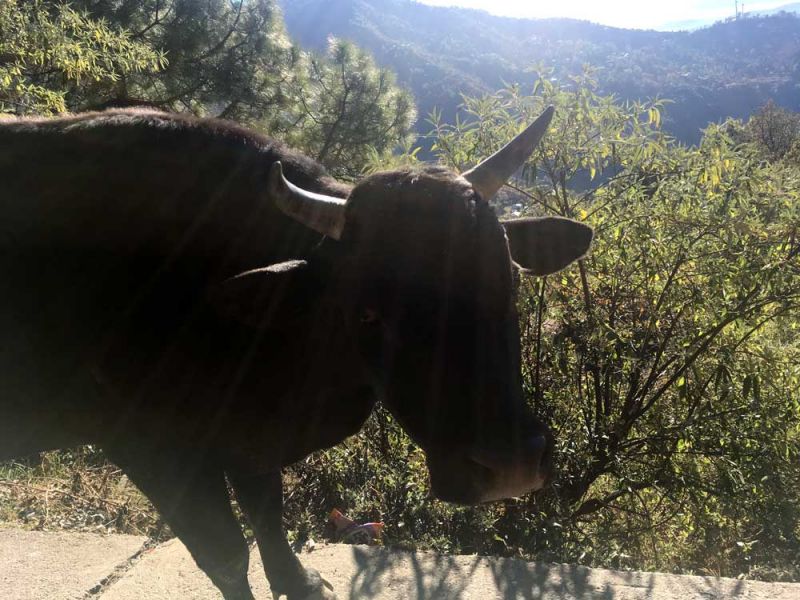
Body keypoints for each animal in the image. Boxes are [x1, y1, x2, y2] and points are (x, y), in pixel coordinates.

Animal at [0, 107, 592, 600]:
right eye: (369, 313)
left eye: (508, 280)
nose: (511, 465)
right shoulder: (151, 447)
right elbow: (226, 554)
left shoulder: (247, 443)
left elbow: (268, 514)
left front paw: (299, 581)